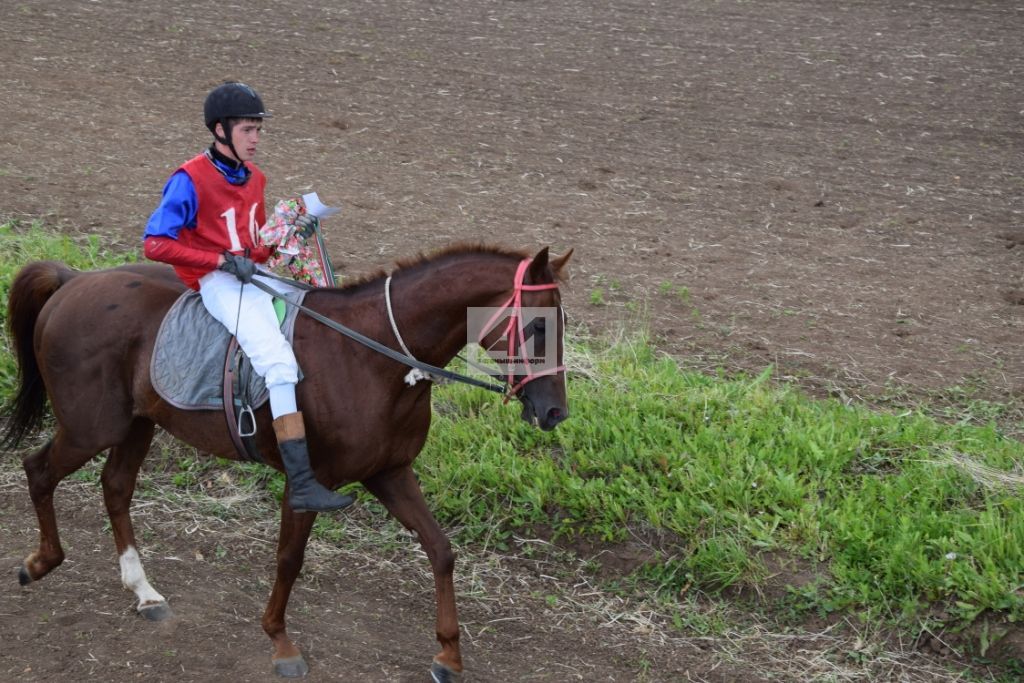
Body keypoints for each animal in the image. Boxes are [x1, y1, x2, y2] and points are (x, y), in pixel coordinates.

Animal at [2, 242, 569, 679]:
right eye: (538, 326)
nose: (556, 411)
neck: (374, 355)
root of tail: (73, 280)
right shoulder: (311, 483)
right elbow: (289, 559)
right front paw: (280, 642)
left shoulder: (390, 473)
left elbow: (441, 550)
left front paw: (449, 653)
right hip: (91, 428)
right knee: (39, 470)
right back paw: (40, 562)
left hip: (136, 425)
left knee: (115, 487)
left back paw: (144, 592)